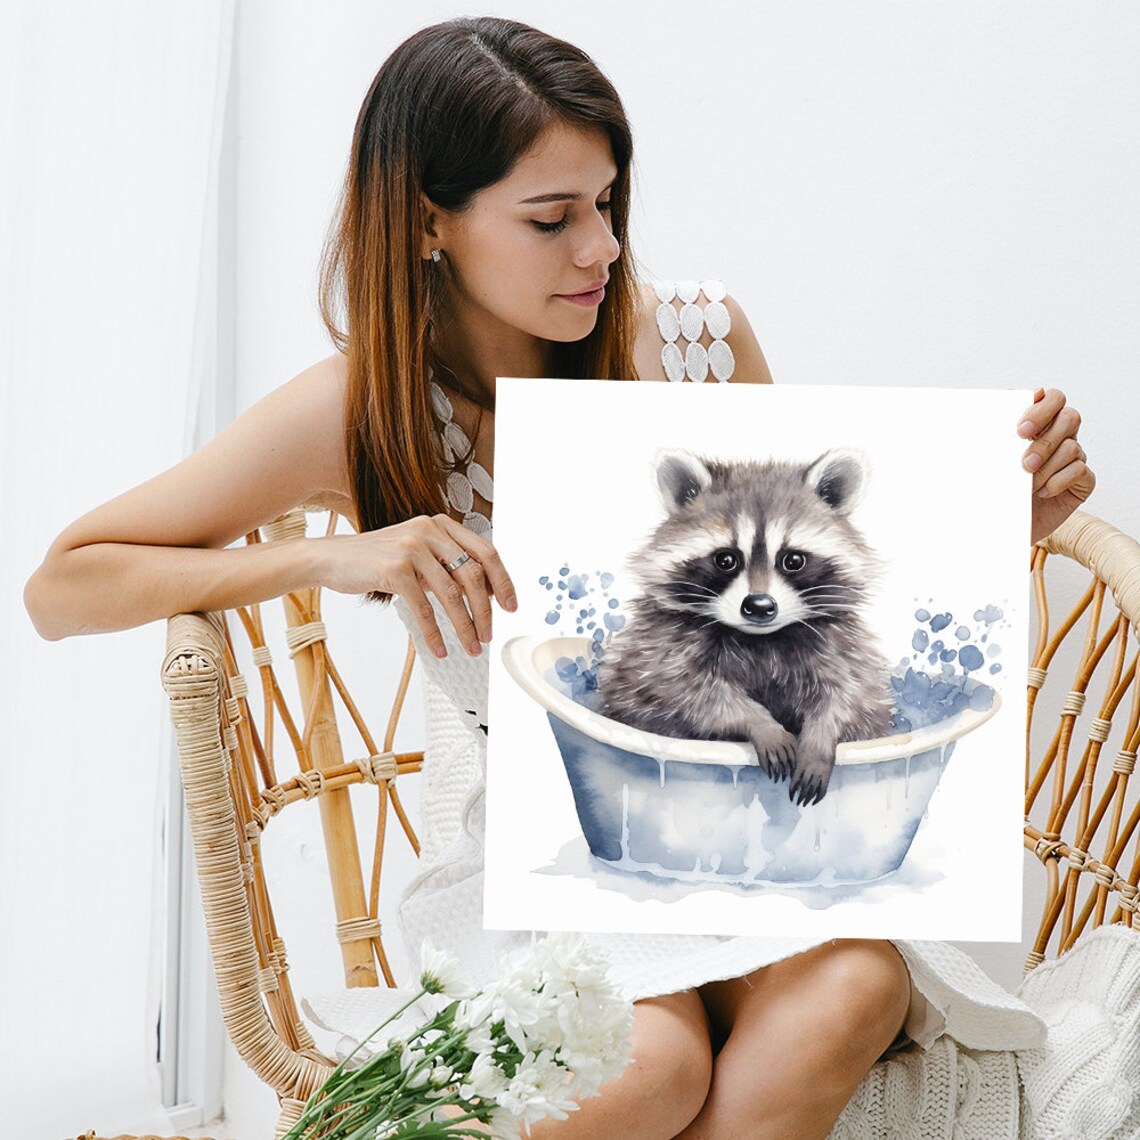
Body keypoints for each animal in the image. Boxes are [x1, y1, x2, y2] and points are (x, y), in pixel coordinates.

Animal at [596, 447, 892, 805]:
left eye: (793, 560)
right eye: (726, 559)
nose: (760, 606)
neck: (760, 638)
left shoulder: (839, 644)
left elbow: (849, 694)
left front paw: (820, 739)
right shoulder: (659, 646)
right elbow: (687, 690)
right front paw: (759, 722)